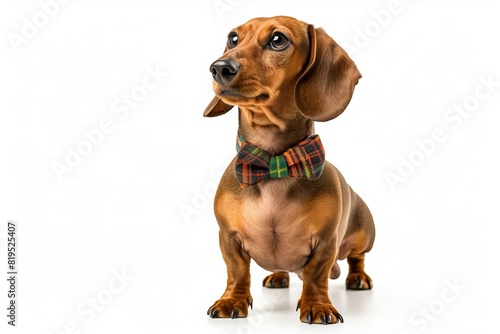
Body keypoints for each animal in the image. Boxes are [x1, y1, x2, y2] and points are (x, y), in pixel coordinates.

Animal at [204, 16, 376, 326]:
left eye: (278, 40)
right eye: (233, 38)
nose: (219, 68)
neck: (274, 164)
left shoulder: (326, 242)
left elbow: (316, 275)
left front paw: (318, 306)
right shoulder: (228, 236)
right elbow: (237, 271)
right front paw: (231, 300)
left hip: (364, 234)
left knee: (357, 258)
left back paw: (358, 278)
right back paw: (278, 276)